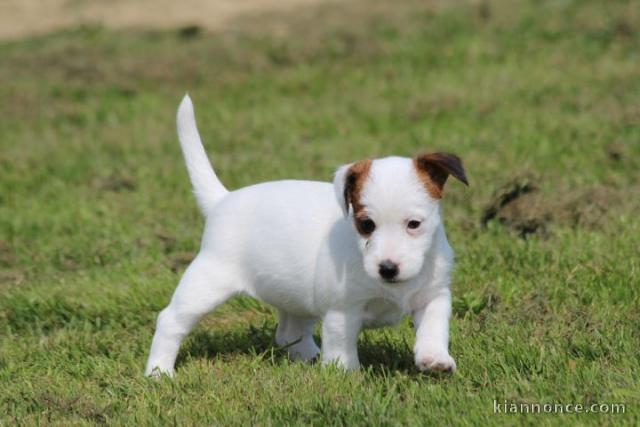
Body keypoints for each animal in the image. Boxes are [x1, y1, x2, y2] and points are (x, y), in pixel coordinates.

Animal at [145, 96, 468, 378]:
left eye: (414, 224)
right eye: (366, 224)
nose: (387, 269)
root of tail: (222, 200)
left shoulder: (434, 295)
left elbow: (434, 328)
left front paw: (434, 359)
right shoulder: (342, 310)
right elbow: (341, 346)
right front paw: (346, 376)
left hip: (296, 293)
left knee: (289, 331)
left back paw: (307, 356)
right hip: (207, 282)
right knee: (171, 320)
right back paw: (159, 372)